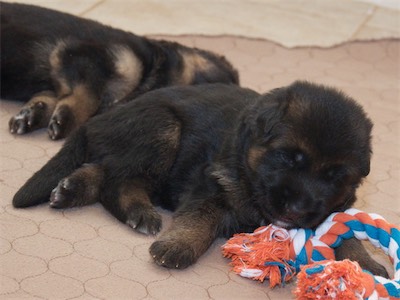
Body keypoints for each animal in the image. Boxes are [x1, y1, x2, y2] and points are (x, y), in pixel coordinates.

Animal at [12, 81, 388, 276]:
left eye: (334, 175)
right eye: (288, 157)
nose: (296, 209)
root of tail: (98, 118)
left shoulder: (333, 208)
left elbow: (345, 232)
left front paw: (366, 265)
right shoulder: (211, 187)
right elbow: (200, 220)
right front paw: (177, 246)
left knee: (107, 172)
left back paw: (72, 189)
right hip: (164, 127)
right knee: (117, 180)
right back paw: (136, 211)